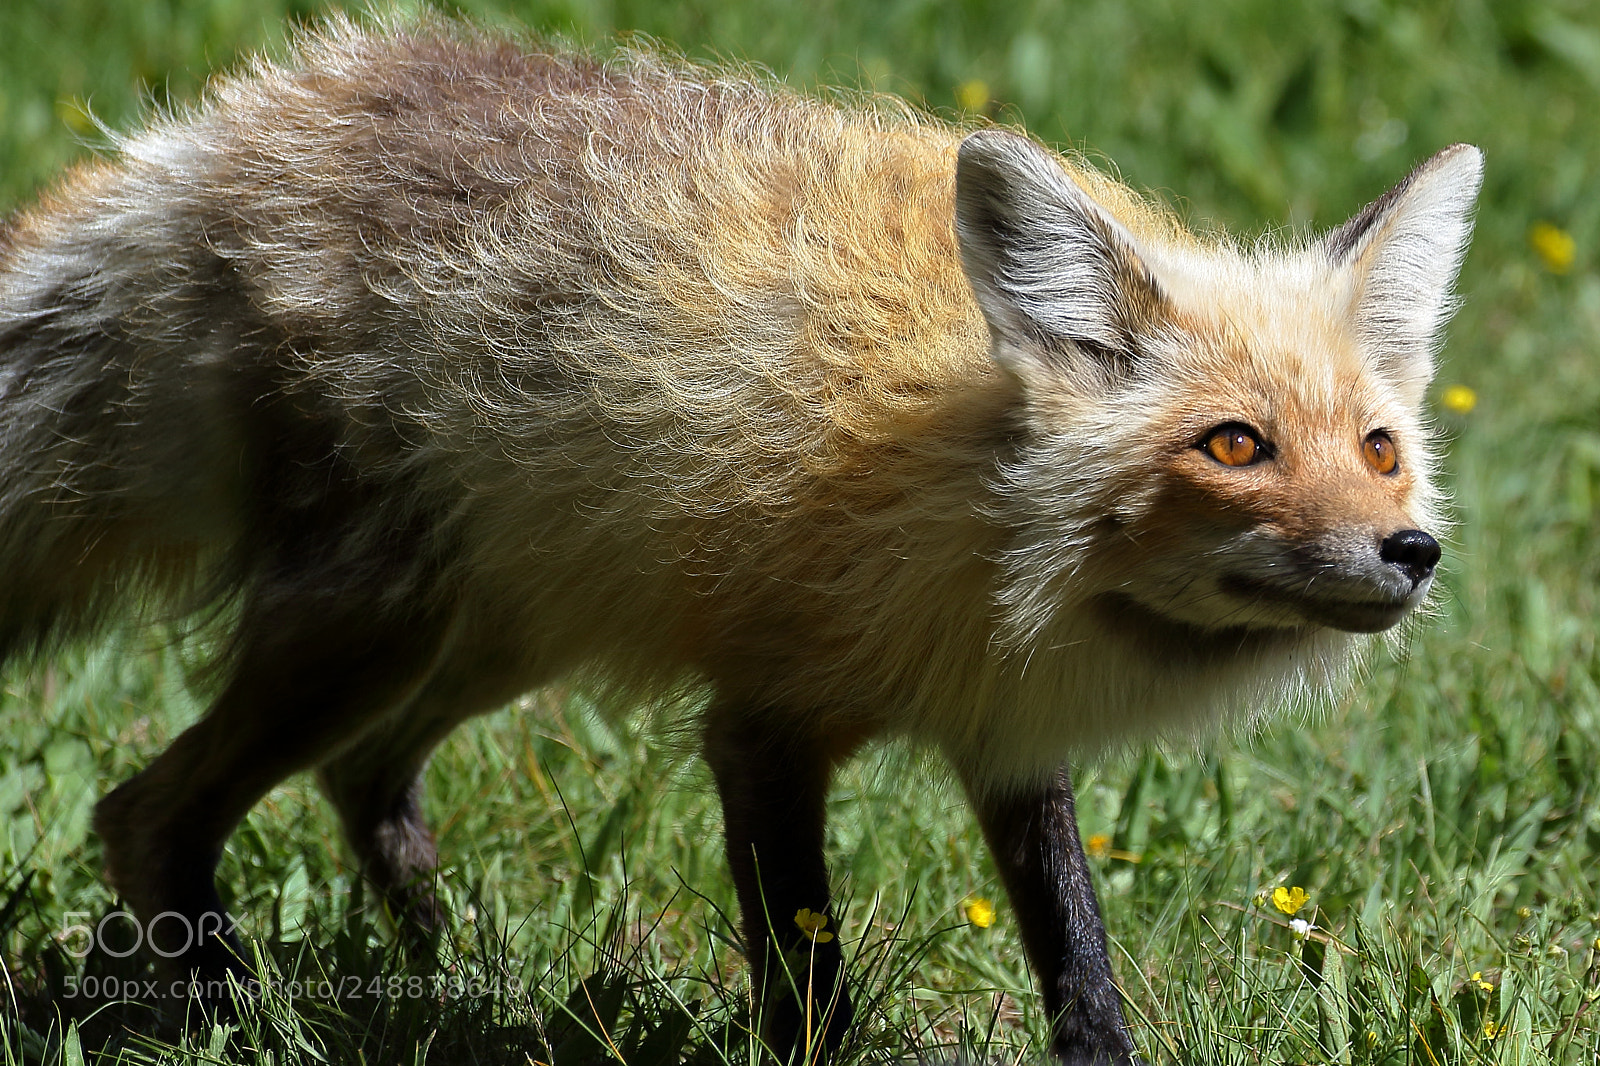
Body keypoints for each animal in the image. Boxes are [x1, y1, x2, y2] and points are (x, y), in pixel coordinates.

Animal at [0, 15, 1480, 1065]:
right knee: (146, 813)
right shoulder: (764, 725)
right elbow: (809, 987)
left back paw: (455, 973)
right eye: (1234, 445)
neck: (981, 505)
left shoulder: (1008, 735)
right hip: (371, 628)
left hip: (497, 625)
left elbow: (1081, 963)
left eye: (1378, 449)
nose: (1410, 551)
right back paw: (238, 1019)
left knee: (362, 778)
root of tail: (232, 124)